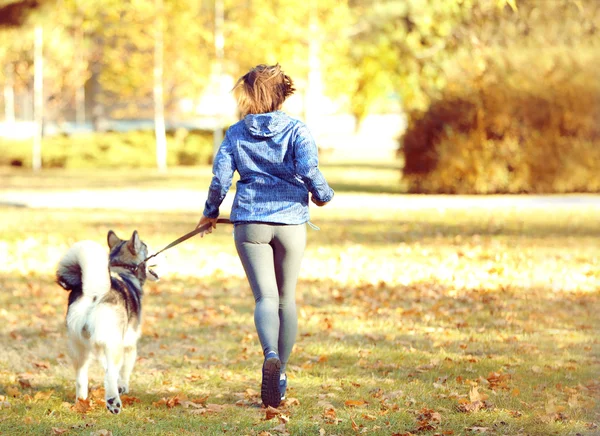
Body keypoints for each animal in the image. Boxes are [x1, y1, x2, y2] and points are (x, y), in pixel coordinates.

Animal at [55, 230, 159, 414]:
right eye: (147, 247)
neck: (124, 270)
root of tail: (94, 291)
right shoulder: (129, 345)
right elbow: (123, 373)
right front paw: (122, 388)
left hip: (79, 348)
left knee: (81, 377)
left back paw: (81, 402)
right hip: (114, 345)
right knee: (110, 375)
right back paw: (113, 402)